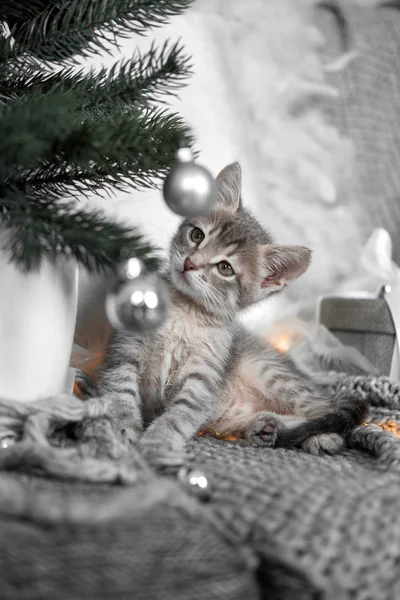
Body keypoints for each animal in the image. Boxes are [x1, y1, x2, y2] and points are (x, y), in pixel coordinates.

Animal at [98, 163, 368, 468]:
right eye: (197, 235)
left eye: (225, 268)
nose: (190, 263)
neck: (185, 311)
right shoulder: (125, 352)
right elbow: (121, 392)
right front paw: (122, 430)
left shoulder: (204, 378)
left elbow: (180, 414)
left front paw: (158, 441)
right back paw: (267, 428)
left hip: (275, 376)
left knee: (328, 413)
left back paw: (321, 437)